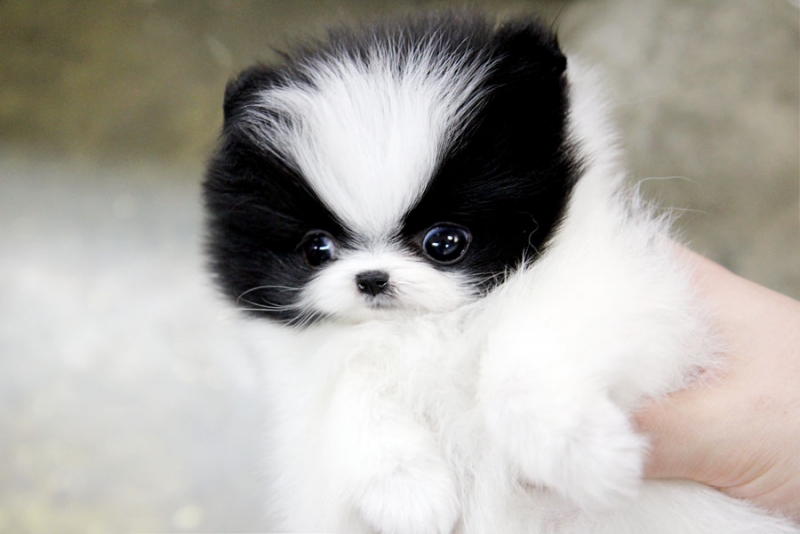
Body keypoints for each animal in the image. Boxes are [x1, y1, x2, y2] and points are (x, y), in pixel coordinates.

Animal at [202, 12, 800, 534]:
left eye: (445, 243)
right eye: (316, 249)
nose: (372, 278)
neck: (428, 330)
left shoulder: (618, 292)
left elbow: (521, 361)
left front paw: (578, 451)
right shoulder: (310, 379)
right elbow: (350, 396)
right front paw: (408, 493)